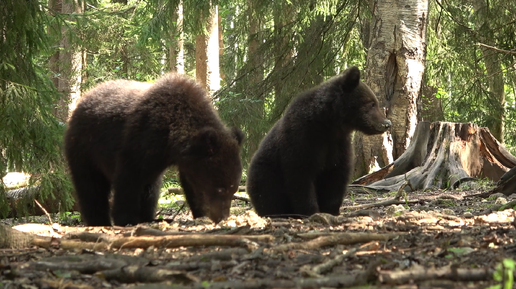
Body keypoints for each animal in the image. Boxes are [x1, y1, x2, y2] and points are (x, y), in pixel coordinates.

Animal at [65, 72, 244, 225]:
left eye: (234, 189)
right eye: (220, 188)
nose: (222, 217)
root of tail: (82, 100)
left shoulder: (182, 159)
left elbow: (189, 183)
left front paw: (200, 213)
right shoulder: (141, 137)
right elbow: (129, 177)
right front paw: (126, 218)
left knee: (150, 186)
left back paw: (150, 217)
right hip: (85, 148)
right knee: (90, 186)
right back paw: (99, 220)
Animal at [246, 66, 392, 217]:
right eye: (372, 104)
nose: (387, 123)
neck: (327, 125)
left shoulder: (338, 146)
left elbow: (336, 176)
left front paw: (330, 210)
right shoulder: (301, 141)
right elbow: (301, 178)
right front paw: (311, 211)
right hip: (265, 171)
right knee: (268, 192)